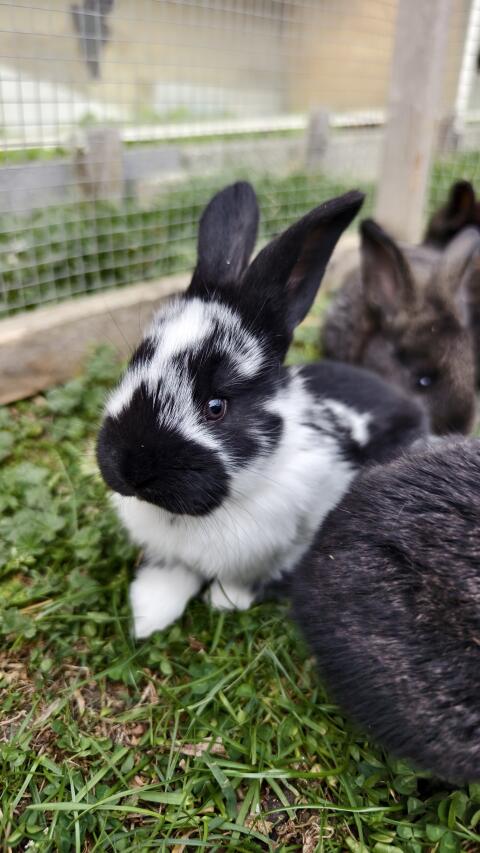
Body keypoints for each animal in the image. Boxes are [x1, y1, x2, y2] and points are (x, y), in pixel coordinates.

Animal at [97, 181, 427, 639]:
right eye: (133, 365)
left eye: (216, 406)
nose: (128, 469)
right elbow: (171, 572)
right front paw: (149, 615)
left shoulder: (309, 525)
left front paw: (227, 599)